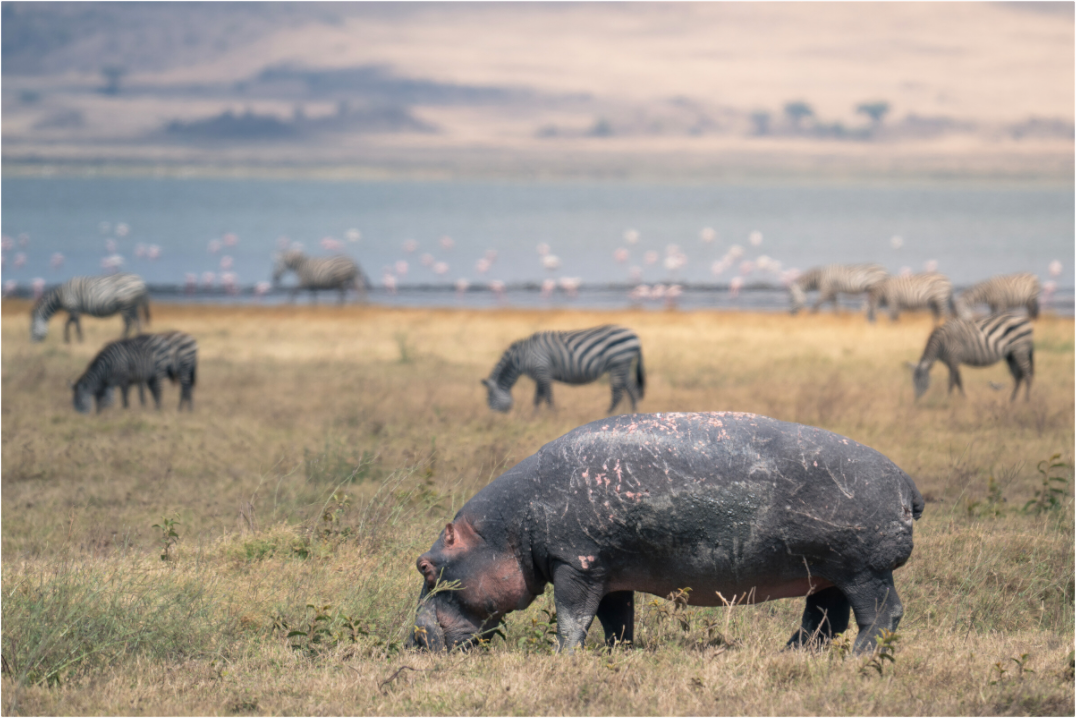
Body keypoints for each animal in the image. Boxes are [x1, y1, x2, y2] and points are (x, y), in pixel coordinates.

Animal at [409, 412, 923, 654]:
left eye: (424, 566)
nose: (413, 638)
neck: (509, 529)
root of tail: (905, 479)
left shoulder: (576, 565)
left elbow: (572, 618)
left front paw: (562, 657)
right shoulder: (608, 570)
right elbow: (617, 621)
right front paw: (617, 655)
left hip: (863, 570)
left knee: (881, 614)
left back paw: (858, 658)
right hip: (827, 570)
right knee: (823, 619)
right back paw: (792, 655)